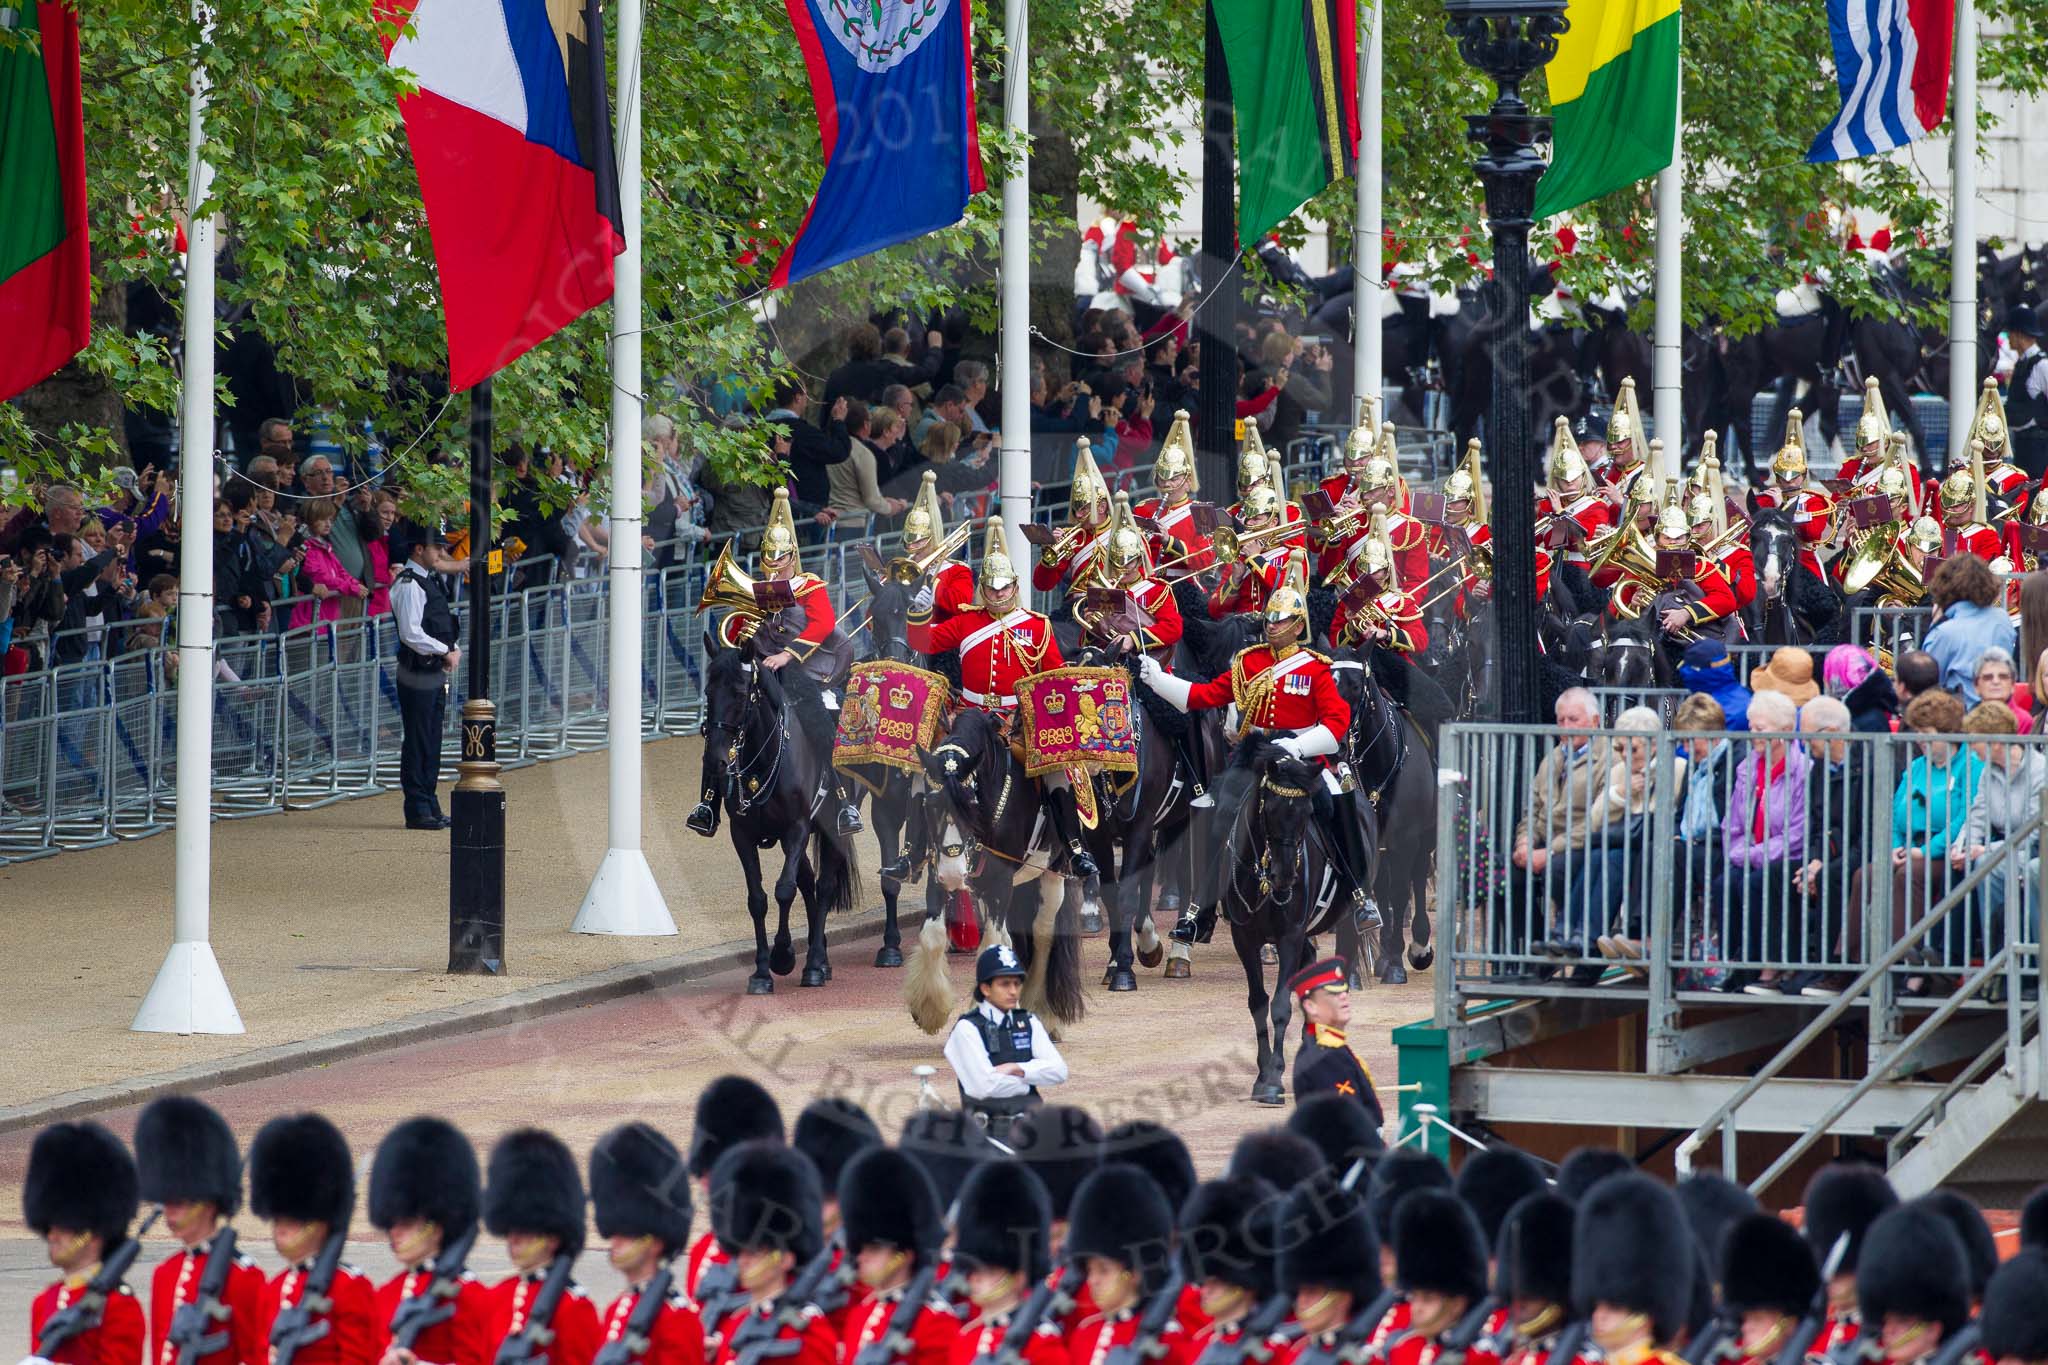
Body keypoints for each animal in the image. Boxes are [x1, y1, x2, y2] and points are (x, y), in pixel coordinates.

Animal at [700, 642, 860, 994]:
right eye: (708, 692)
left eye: (741, 693)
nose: (715, 761)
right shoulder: (742, 834)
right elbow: (758, 899)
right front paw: (762, 971)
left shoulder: (796, 828)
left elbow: (784, 890)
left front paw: (783, 955)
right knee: (809, 883)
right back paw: (821, 959)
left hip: (831, 830)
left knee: (823, 886)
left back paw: (814, 964)